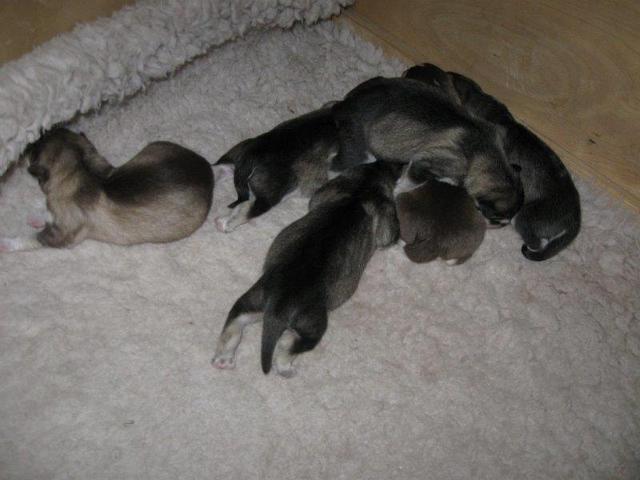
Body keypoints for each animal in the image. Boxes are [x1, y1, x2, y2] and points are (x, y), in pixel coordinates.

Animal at [0, 128, 213, 251]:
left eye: (34, 148)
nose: (27, 145)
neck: (79, 167)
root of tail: (208, 169)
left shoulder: (63, 235)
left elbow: (31, 238)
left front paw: (6, 243)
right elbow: (46, 214)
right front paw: (37, 216)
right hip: (154, 148)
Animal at [211, 161, 400, 377]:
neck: (361, 190)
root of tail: (278, 304)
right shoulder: (385, 217)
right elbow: (389, 235)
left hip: (251, 301)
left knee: (233, 325)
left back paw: (223, 358)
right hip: (313, 323)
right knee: (289, 345)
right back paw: (285, 366)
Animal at [330, 76, 524, 226]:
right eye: (496, 218)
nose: (494, 226)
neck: (483, 151)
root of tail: (345, 104)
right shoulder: (428, 163)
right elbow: (410, 181)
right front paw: (398, 191)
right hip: (360, 151)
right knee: (335, 166)